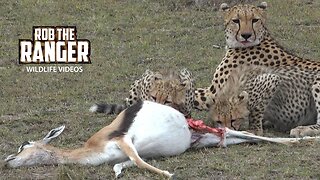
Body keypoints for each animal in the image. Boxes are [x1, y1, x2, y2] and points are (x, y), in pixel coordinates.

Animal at [194, 1, 320, 137]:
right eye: (236, 20)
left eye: (255, 20)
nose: (246, 35)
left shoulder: (215, 92)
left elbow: (193, 93)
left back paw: (302, 129)